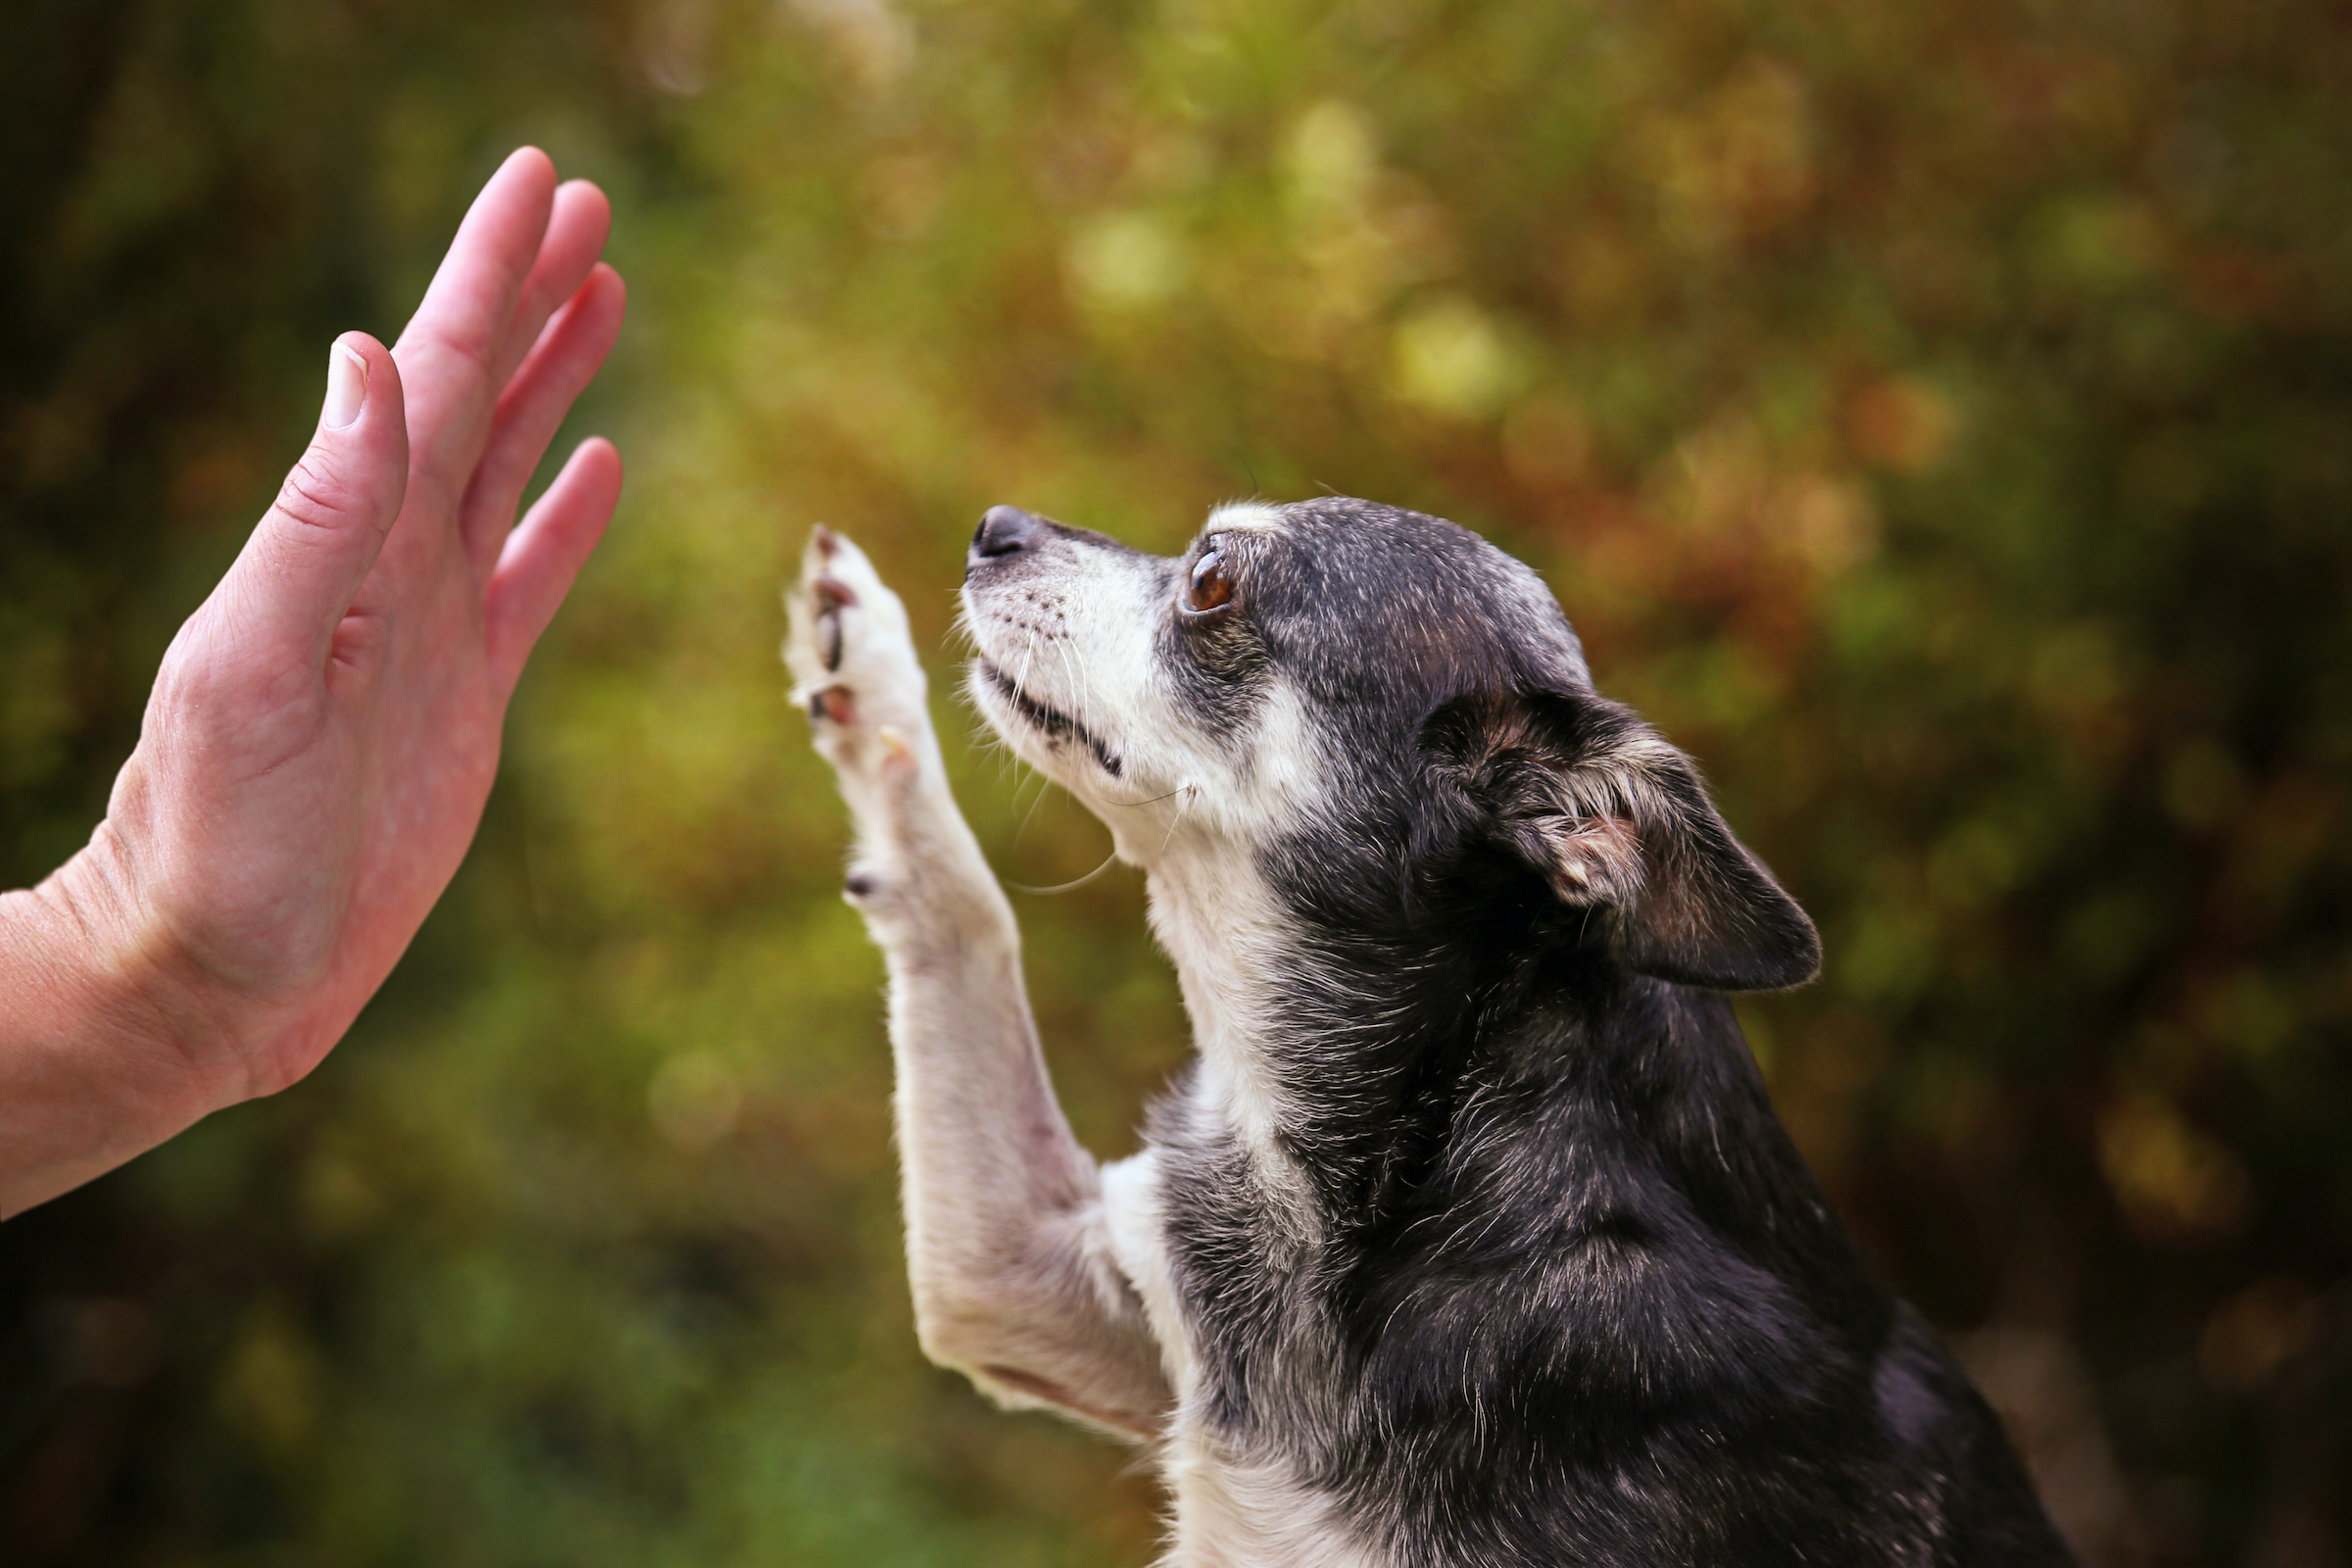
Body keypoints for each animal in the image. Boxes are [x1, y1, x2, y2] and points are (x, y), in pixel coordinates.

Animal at [780, 503, 2070, 1568]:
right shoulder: (1018, 1278)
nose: (997, 525)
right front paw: (867, 673)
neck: (1419, 1148)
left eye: (1209, 579)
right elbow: (962, 911)